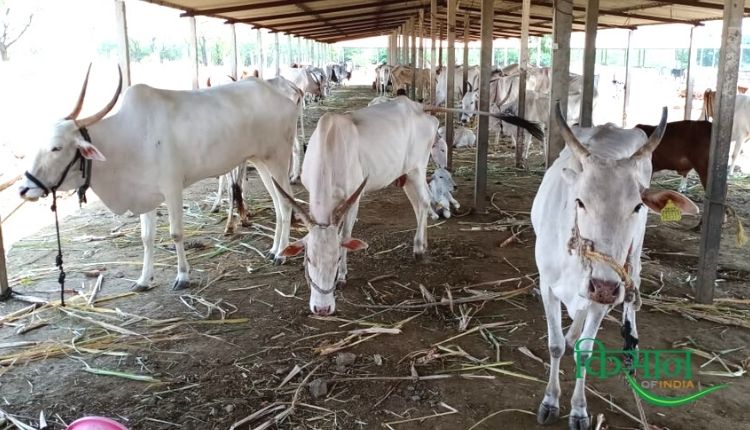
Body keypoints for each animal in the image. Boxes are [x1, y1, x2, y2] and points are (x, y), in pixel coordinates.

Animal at [20, 65, 298, 290]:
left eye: (56, 147)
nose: (24, 189)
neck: (127, 138)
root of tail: (282, 96)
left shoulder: (172, 188)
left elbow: (176, 233)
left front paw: (183, 276)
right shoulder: (146, 195)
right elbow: (147, 238)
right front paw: (143, 280)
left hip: (277, 159)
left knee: (286, 203)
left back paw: (281, 253)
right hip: (260, 161)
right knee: (278, 203)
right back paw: (274, 248)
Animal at [274, 95, 440, 314]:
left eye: (336, 259)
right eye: (309, 259)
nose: (322, 308)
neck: (330, 146)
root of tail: (419, 107)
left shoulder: (353, 199)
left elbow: (345, 235)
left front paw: (343, 276)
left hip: (417, 169)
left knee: (424, 201)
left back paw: (419, 248)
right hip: (406, 175)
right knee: (417, 203)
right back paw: (425, 242)